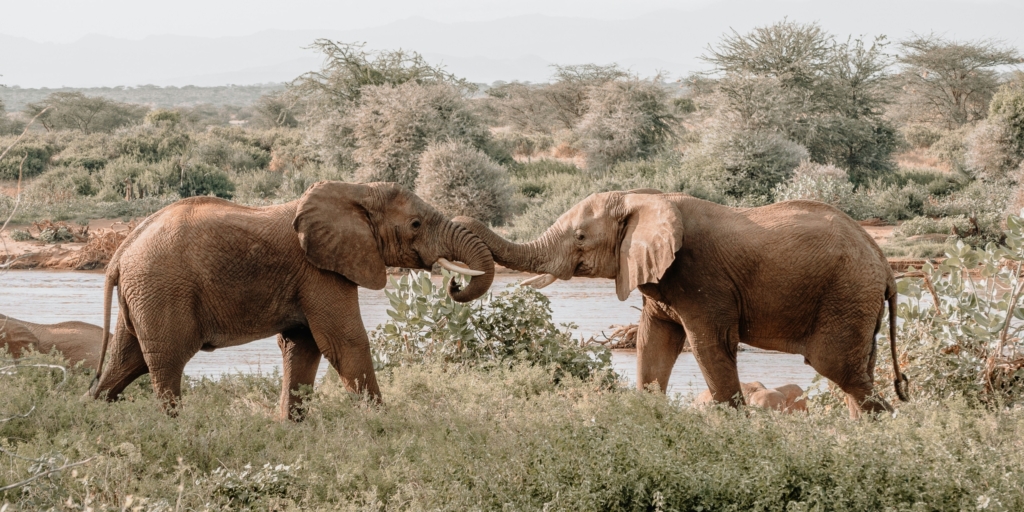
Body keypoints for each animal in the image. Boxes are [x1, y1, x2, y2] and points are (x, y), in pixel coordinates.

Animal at [88, 181, 495, 419]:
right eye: (415, 225)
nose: (454, 283)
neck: (355, 191)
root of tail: (119, 252)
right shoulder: (320, 271)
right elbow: (345, 342)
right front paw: (385, 426)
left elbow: (303, 346)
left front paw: (291, 428)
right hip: (162, 288)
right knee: (166, 361)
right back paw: (175, 428)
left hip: (144, 293)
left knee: (128, 361)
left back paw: (92, 416)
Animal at [460, 190, 909, 417]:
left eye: (581, 237)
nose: (462, 219)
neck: (643, 196)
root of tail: (885, 267)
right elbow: (653, 344)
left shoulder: (699, 278)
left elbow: (708, 347)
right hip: (857, 302)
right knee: (856, 374)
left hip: (846, 295)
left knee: (839, 370)